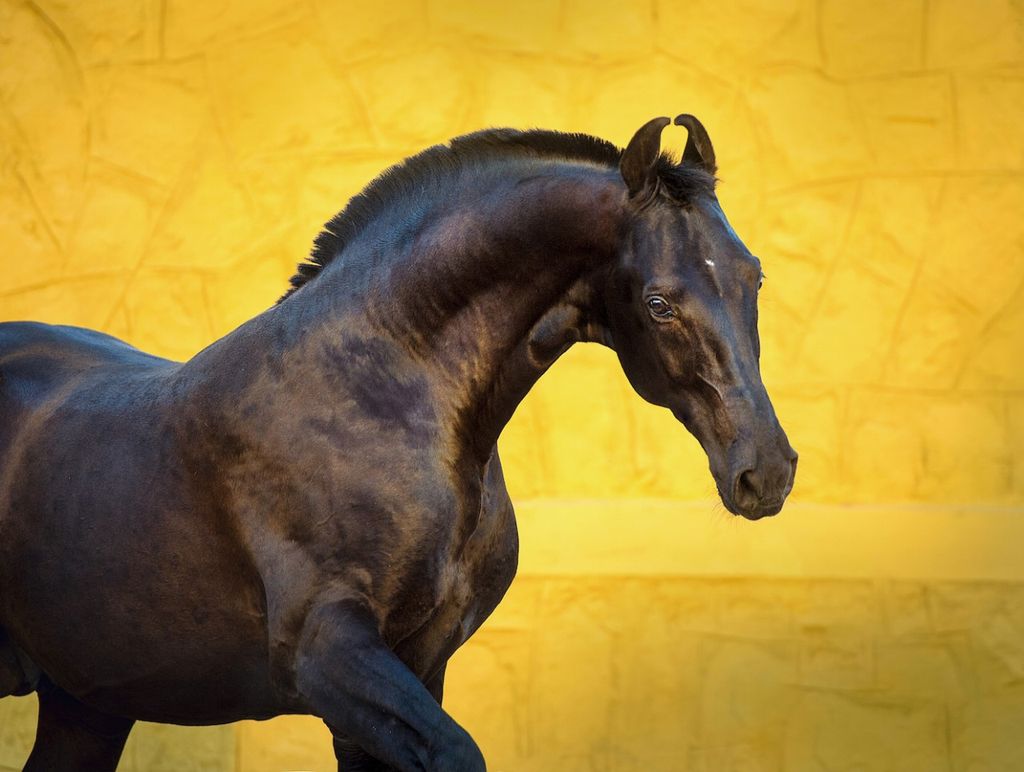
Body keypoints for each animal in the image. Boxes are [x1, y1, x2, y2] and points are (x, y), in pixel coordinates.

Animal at [0, 114, 797, 771]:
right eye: (659, 302)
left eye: (755, 276)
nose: (768, 471)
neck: (381, 393)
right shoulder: (329, 656)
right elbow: (456, 754)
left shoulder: (418, 663)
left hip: (87, 704)